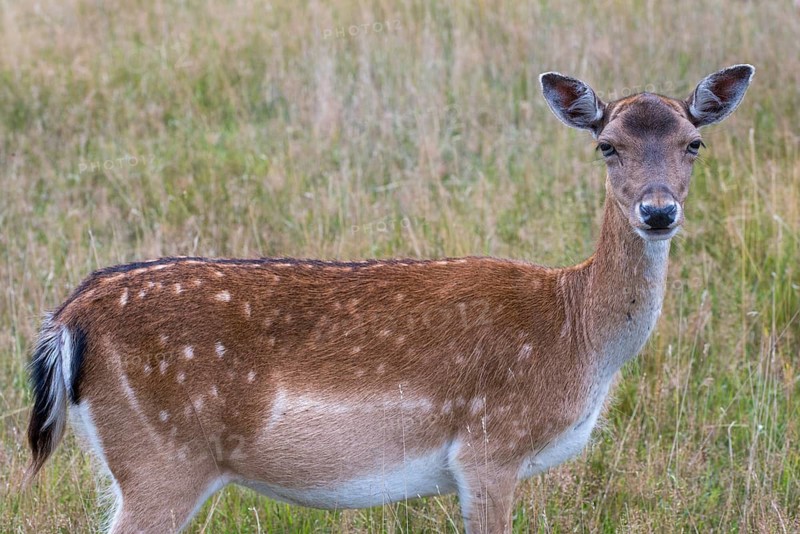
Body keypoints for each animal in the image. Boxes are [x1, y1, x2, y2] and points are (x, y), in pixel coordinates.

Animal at [24, 65, 754, 533]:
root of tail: (67, 321)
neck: (579, 339)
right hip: (163, 458)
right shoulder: (491, 446)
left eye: (694, 142)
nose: (658, 212)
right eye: (607, 145)